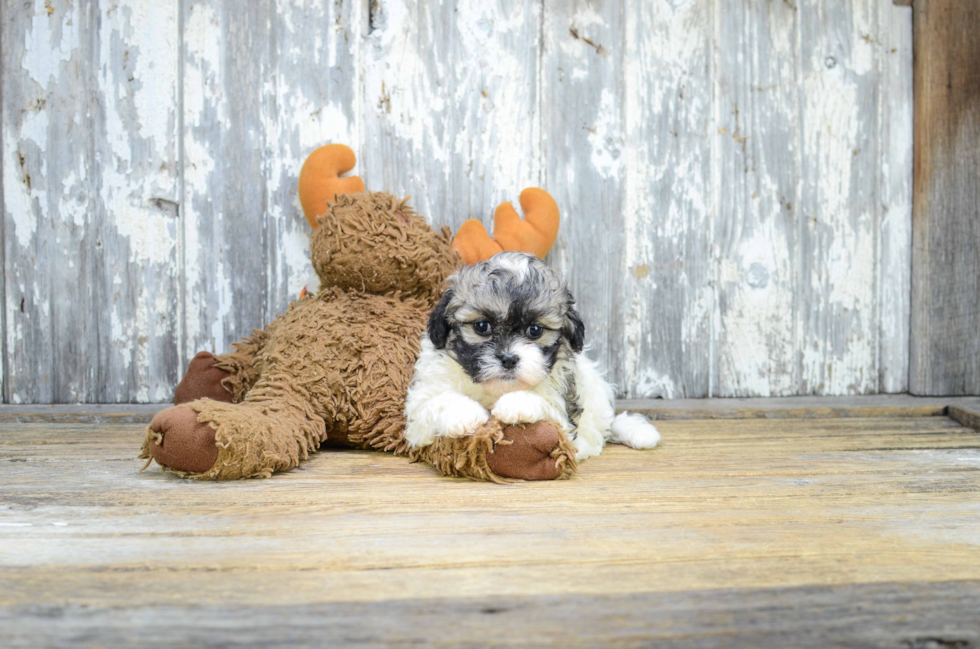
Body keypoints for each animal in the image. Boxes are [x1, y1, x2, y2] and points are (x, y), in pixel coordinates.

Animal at [402, 252, 664, 460]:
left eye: (535, 330)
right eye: (482, 326)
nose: (508, 359)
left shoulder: (563, 412)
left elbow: (544, 404)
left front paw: (515, 403)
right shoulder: (418, 415)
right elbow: (439, 400)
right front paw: (464, 413)